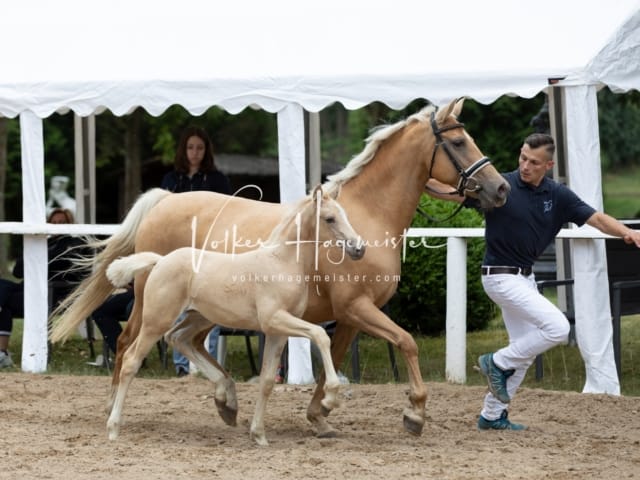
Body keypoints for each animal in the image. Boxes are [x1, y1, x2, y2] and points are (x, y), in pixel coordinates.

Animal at [104, 185, 364, 446]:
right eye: (329, 218)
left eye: (346, 215)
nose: (358, 249)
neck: (281, 262)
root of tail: (160, 261)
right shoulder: (275, 319)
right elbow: (321, 335)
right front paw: (330, 397)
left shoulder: (277, 331)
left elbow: (267, 380)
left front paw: (259, 434)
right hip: (155, 321)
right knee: (131, 360)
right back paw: (113, 427)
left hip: (199, 317)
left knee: (178, 338)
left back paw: (225, 402)